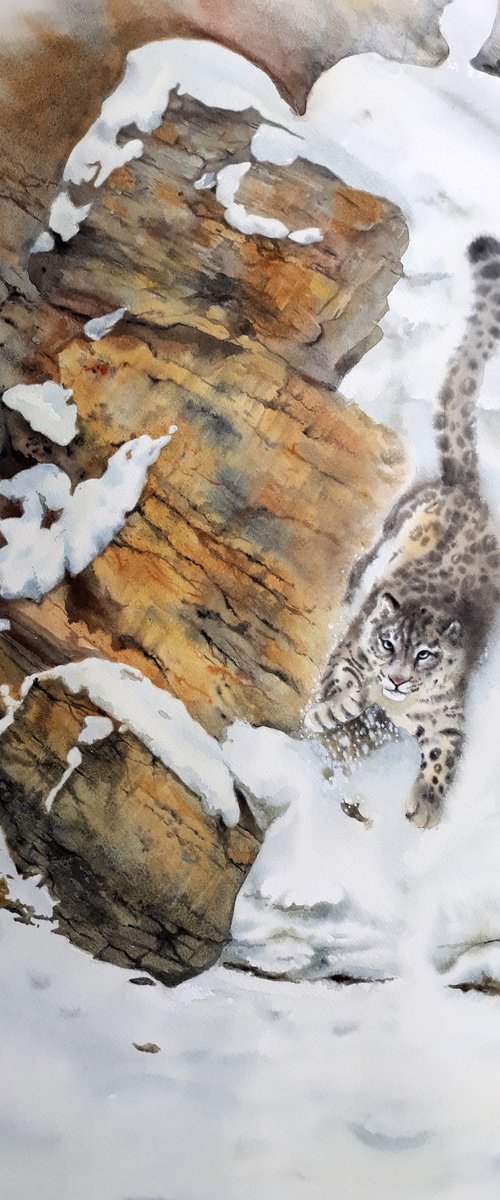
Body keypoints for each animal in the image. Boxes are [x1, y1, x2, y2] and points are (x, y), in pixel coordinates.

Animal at [305, 235, 500, 829]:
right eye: (388, 643)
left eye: (425, 655)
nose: (394, 680)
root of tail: (469, 491)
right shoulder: (352, 651)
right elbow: (342, 677)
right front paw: (337, 706)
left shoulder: (447, 717)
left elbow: (445, 753)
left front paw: (427, 806)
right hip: (392, 528)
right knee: (367, 561)